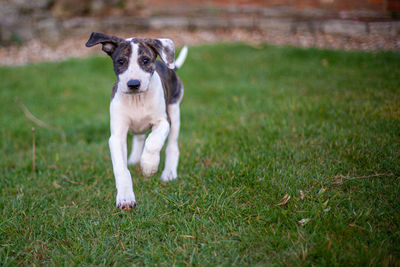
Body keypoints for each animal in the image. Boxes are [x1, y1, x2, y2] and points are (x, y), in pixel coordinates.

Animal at [85, 32, 188, 210]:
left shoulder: (163, 121)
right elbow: (121, 168)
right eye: (121, 61)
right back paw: (134, 159)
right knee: (139, 137)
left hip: (175, 109)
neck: (137, 99)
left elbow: (153, 142)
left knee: (172, 146)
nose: (133, 84)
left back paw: (168, 173)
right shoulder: (117, 136)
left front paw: (148, 165)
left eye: (145, 60)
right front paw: (125, 198)